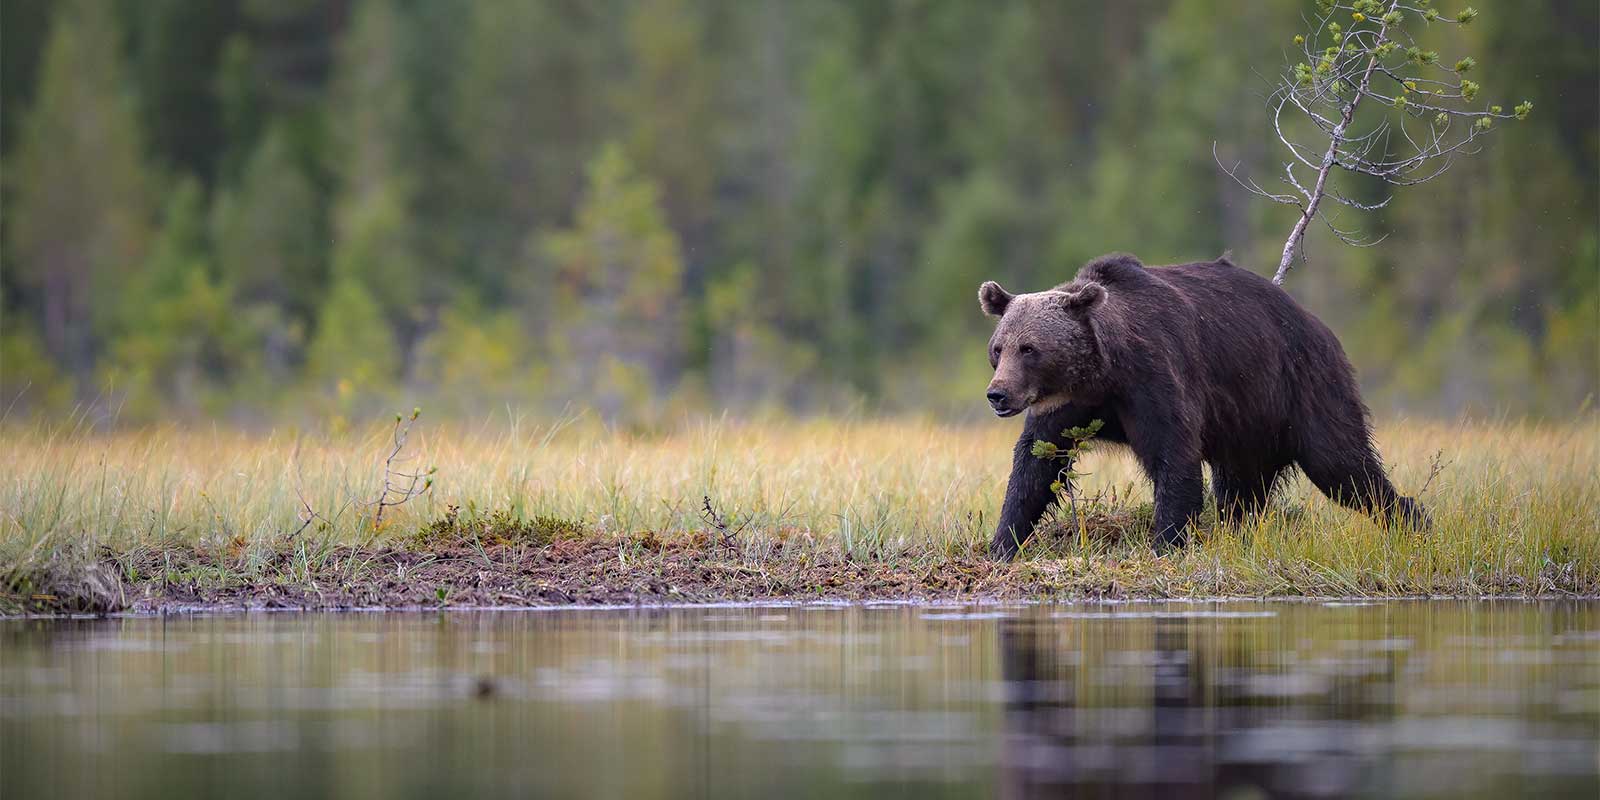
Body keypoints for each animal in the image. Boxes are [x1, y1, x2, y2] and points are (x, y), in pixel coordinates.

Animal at [979, 252, 1428, 560]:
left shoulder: (1154, 378)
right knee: (1240, 492)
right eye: (998, 348)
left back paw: (1412, 522)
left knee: (1342, 464)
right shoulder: (1066, 407)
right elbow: (1035, 466)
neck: (1103, 373)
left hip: (1303, 384)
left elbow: (1173, 456)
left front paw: (1166, 543)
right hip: (1247, 428)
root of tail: (1317, 323)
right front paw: (1003, 543)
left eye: (1030, 348)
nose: (997, 394)